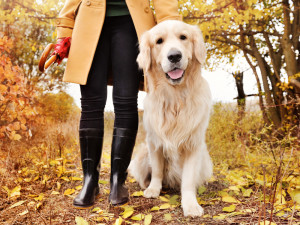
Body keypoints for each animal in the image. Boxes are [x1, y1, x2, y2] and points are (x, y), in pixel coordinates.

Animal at [129, 20, 213, 217]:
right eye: (159, 41)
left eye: (183, 37)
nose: (174, 56)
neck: (175, 99)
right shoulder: (154, 142)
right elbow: (157, 170)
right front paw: (153, 189)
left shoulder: (194, 144)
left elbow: (188, 179)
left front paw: (190, 205)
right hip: (142, 154)